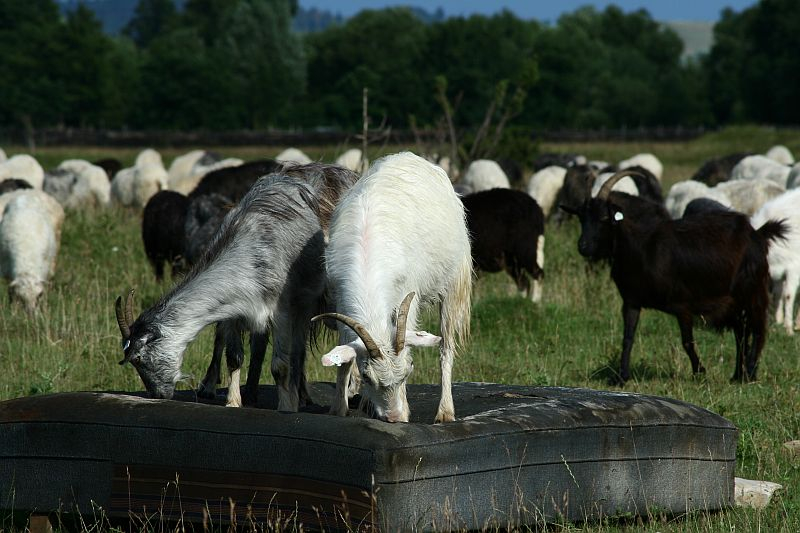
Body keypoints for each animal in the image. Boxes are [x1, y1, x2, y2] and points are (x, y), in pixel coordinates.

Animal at [315, 152, 472, 423]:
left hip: (454, 284)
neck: (367, 258)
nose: (395, 418)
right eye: (367, 377)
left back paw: (445, 411)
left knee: (446, 347)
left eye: (408, 372)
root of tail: (410, 156)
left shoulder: (407, 296)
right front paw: (339, 408)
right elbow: (345, 356)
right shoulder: (340, 300)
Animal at [561, 169, 787, 384]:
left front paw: (699, 371)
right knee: (741, 331)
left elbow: (687, 341)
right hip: (734, 300)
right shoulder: (631, 301)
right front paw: (621, 377)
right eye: (581, 217)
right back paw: (738, 374)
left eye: (604, 218)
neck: (642, 248)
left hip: (753, 289)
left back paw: (749, 373)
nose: (583, 247)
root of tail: (757, 234)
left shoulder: (683, 303)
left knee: (758, 329)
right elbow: (628, 337)